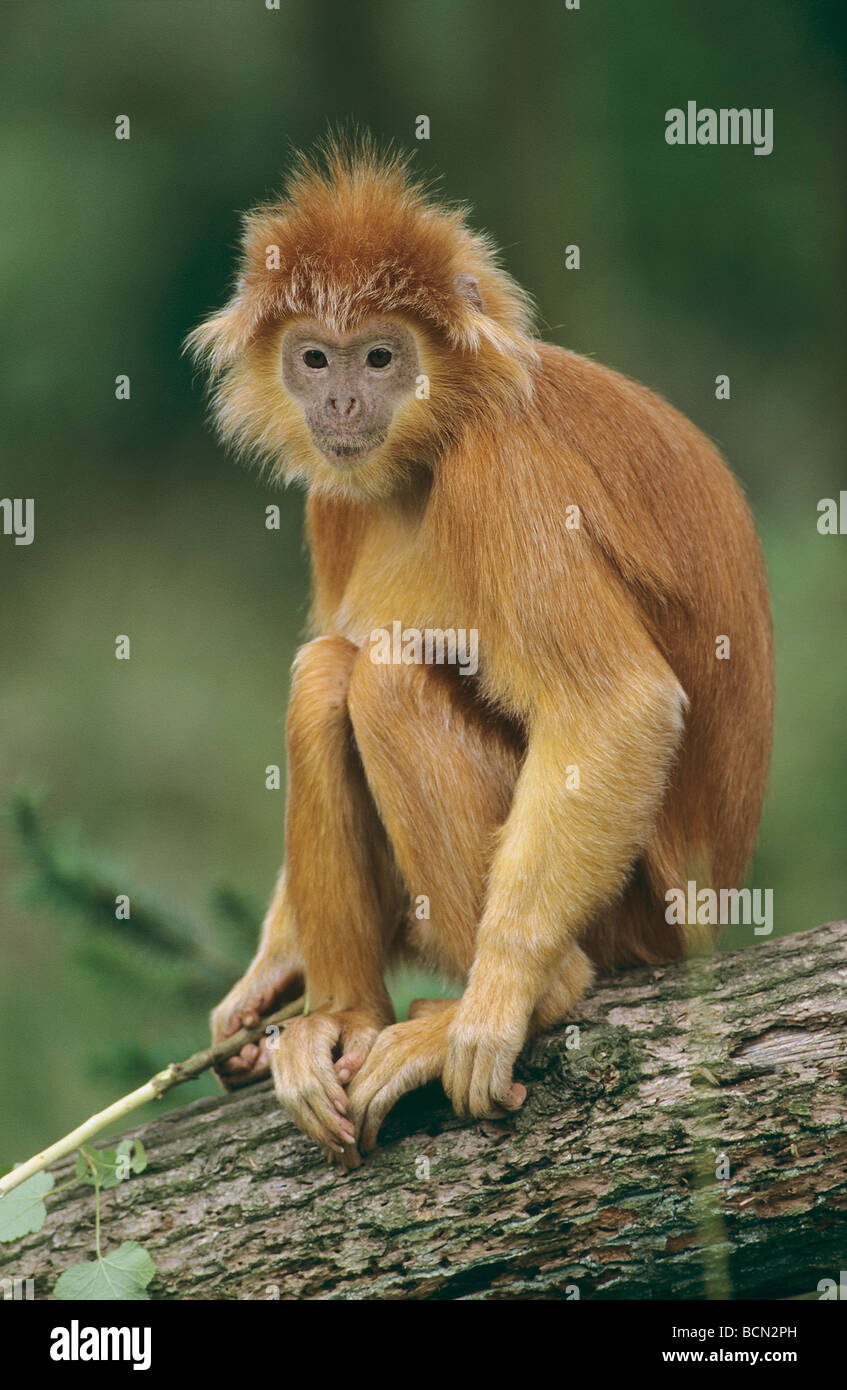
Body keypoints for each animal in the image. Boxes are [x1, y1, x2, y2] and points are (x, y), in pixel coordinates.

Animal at [186, 135, 773, 1167]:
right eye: (314, 357)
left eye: (382, 356)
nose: (341, 397)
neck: (430, 451)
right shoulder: (336, 498)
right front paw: (271, 968)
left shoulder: (503, 467)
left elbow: (615, 707)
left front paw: (496, 1003)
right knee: (324, 673)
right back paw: (342, 1018)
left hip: (634, 919)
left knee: (379, 680)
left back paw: (534, 994)